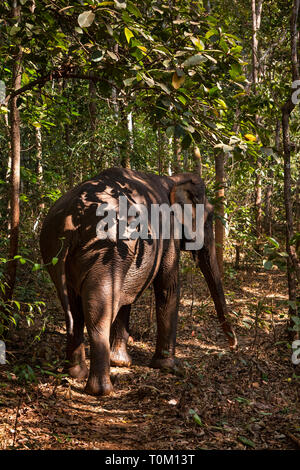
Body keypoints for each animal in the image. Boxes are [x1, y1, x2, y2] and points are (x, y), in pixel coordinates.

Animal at [39, 167, 237, 394]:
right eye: (210, 217)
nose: (233, 346)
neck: (172, 180)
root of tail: (68, 222)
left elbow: (127, 296)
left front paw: (121, 362)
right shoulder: (167, 236)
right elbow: (168, 288)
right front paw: (170, 367)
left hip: (55, 251)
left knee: (74, 309)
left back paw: (75, 373)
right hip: (106, 251)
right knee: (99, 309)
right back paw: (102, 390)